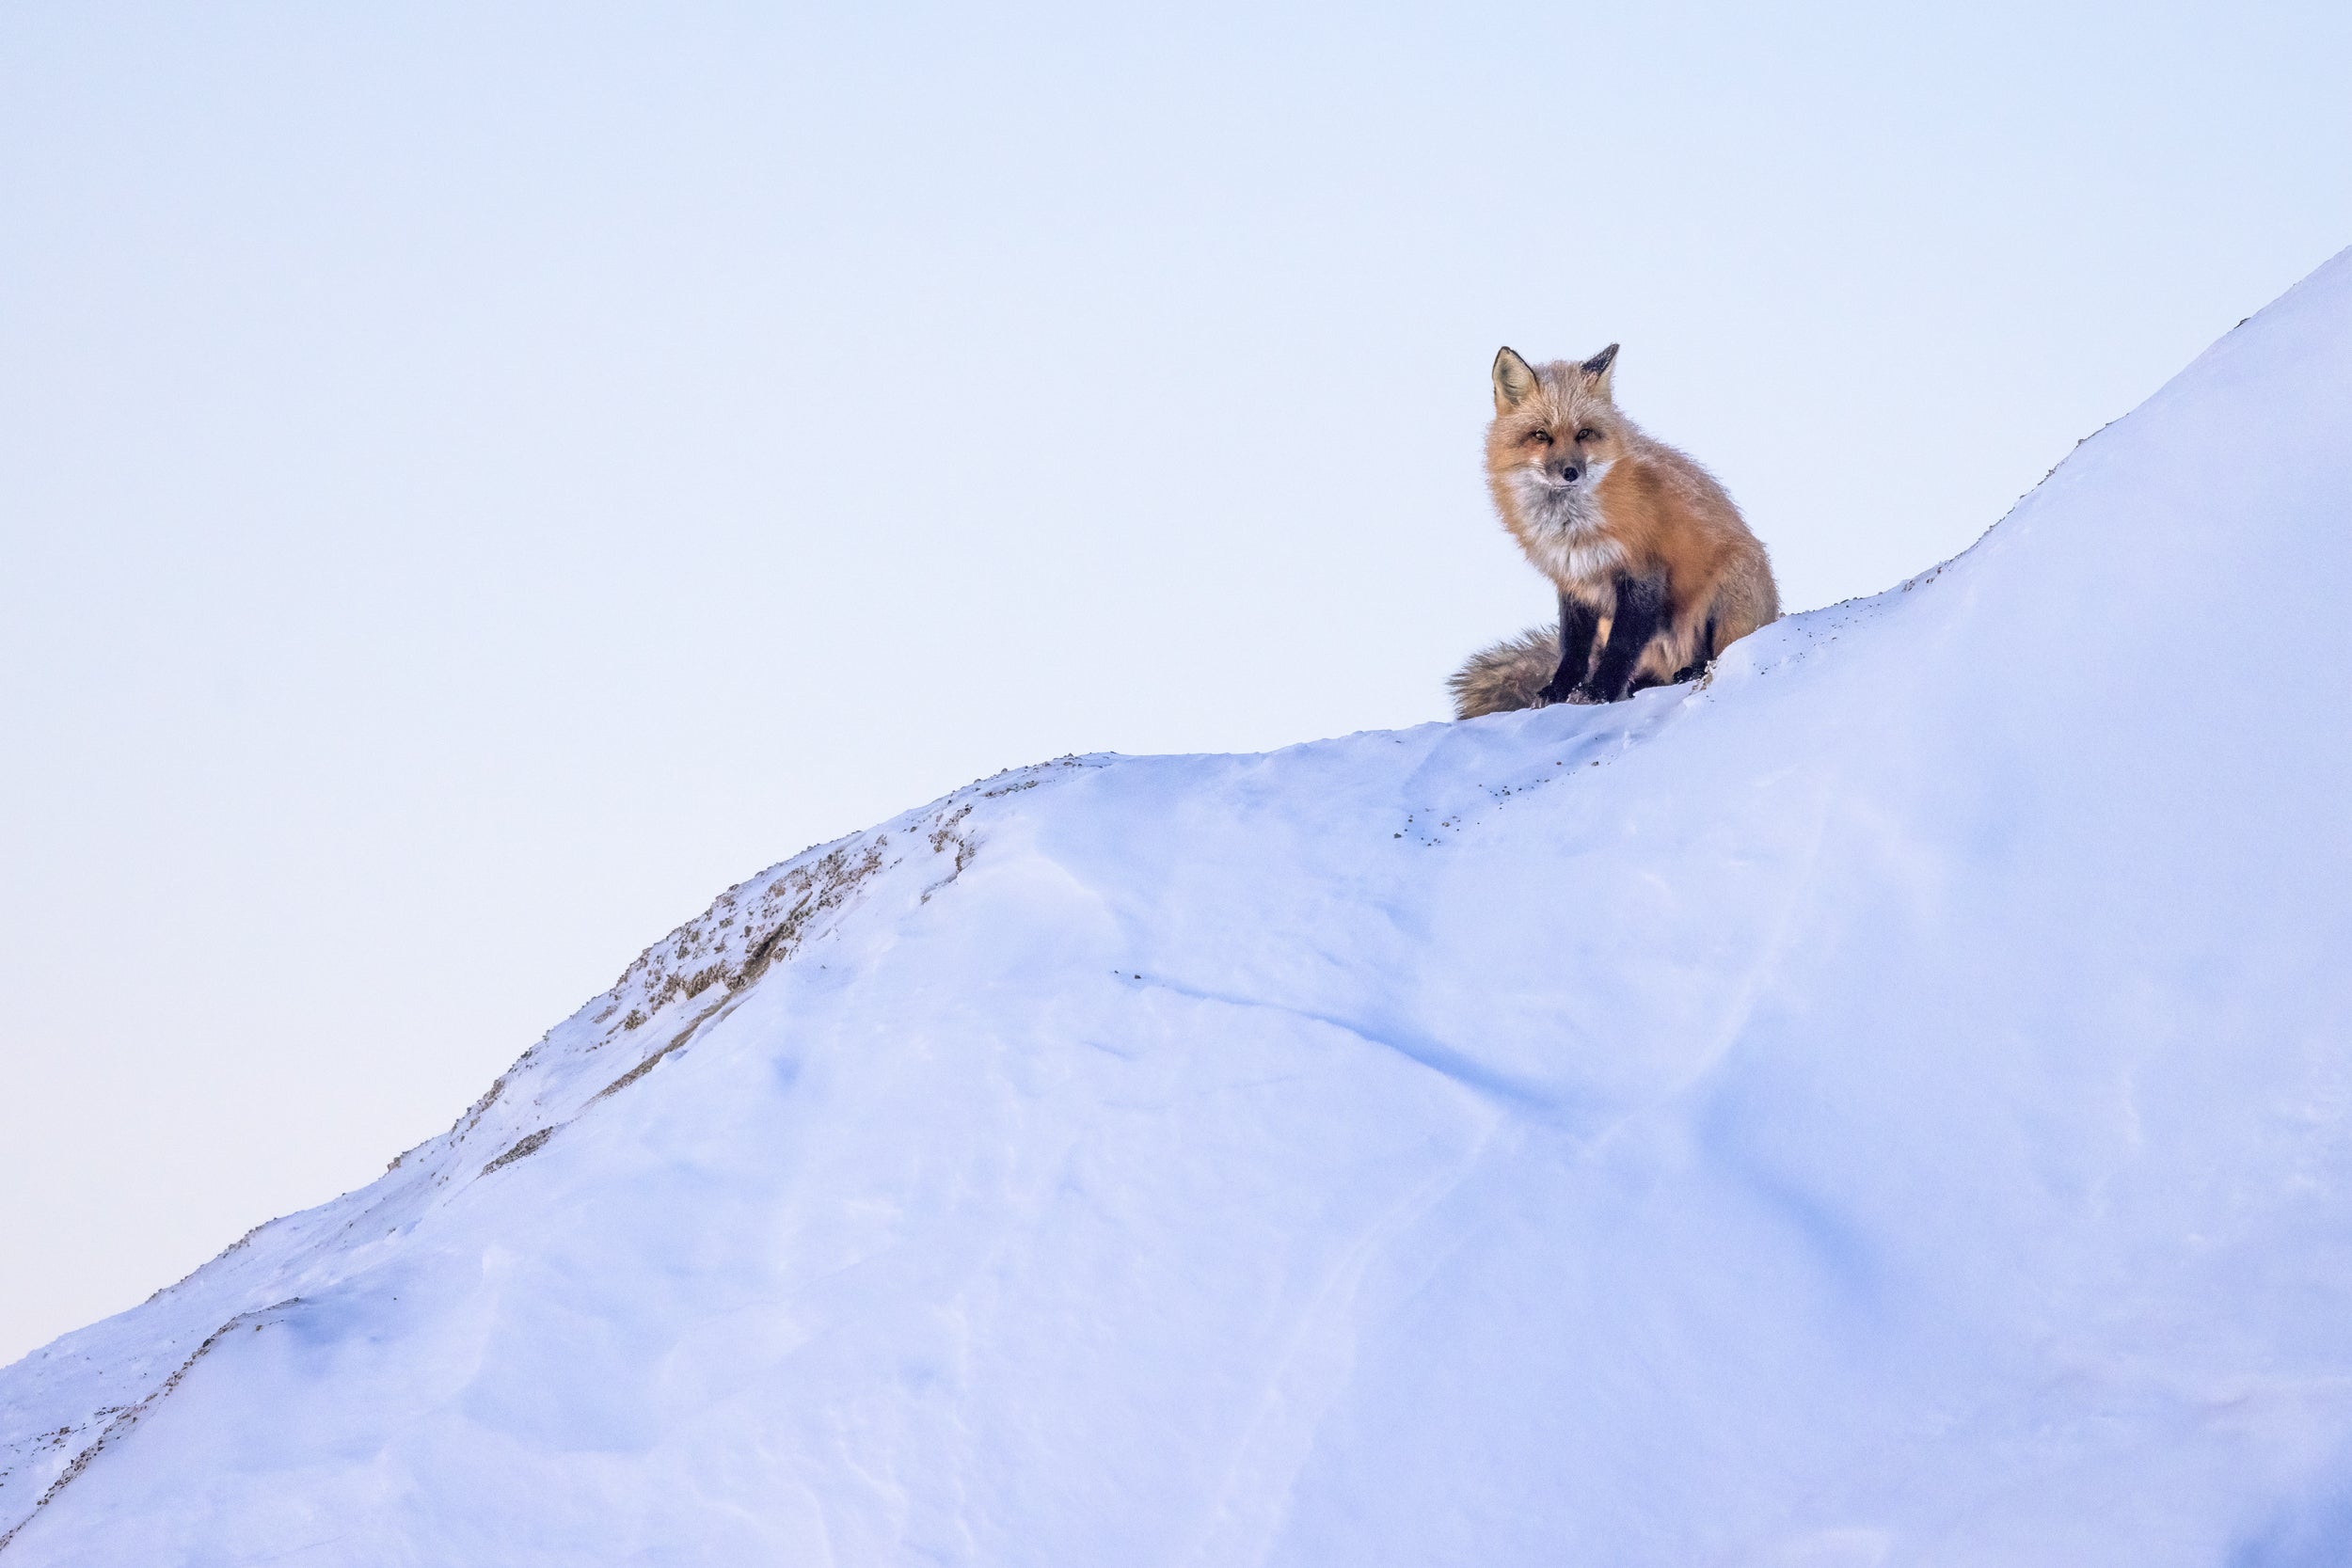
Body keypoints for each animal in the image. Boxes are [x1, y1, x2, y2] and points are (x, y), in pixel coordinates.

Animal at [1450, 344, 1779, 717]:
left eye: (1584, 433)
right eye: (1540, 435)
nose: (1570, 472)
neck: (1572, 530)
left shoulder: (1642, 572)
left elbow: (1622, 645)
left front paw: (1599, 692)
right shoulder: (1574, 583)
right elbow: (1572, 650)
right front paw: (1559, 692)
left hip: (1727, 596)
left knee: (1716, 654)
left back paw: (1690, 671)